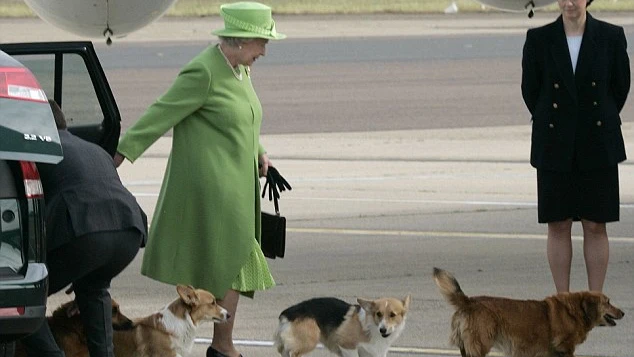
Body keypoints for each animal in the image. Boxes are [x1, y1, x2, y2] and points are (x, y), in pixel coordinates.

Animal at [272, 294, 410, 356]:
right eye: (378, 314)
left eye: (392, 315)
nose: (383, 330)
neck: (371, 327)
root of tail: (287, 313)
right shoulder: (347, 346)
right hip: (309, 341)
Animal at [430, 268, 624, 356]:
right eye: (608, 302)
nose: (623, 313)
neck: (575, 311)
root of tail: (469, 302)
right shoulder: (565, 348)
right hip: (480, 345)